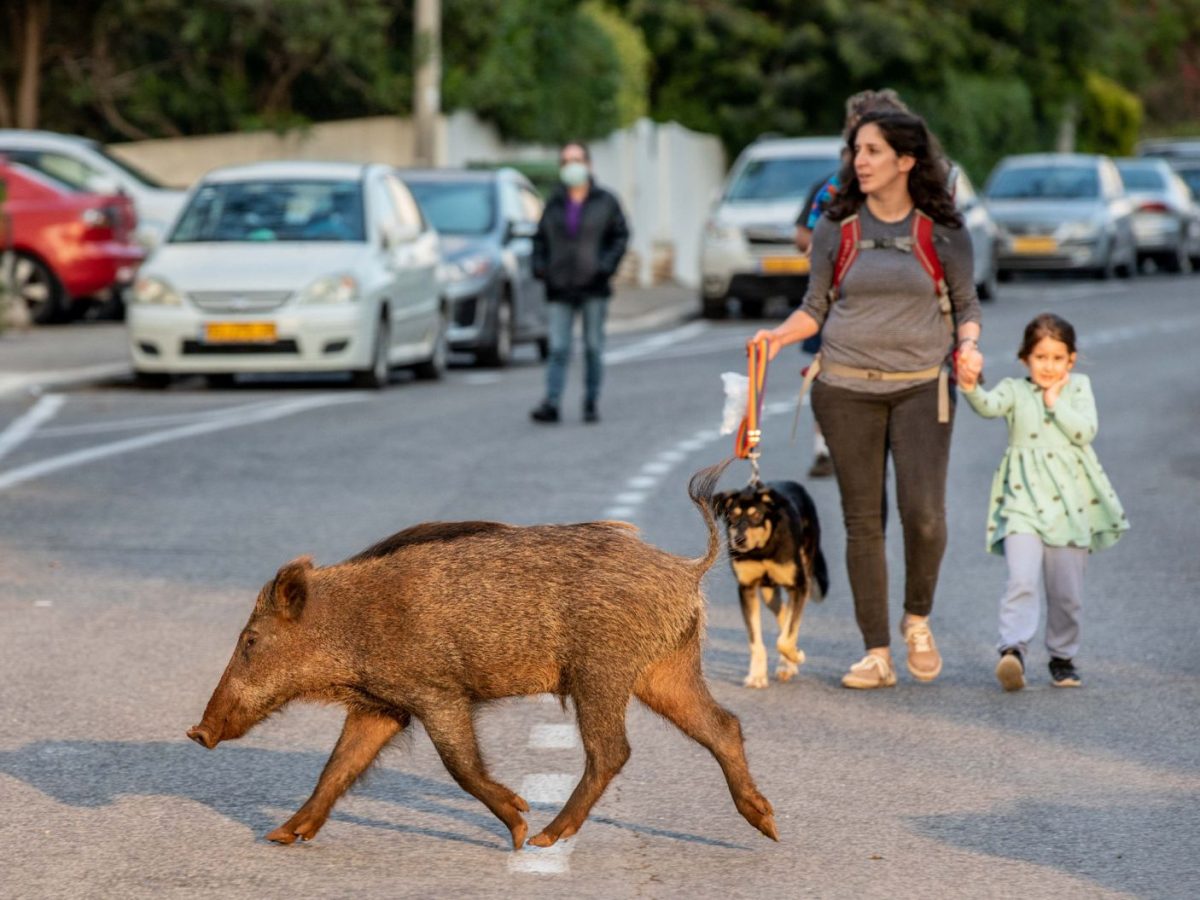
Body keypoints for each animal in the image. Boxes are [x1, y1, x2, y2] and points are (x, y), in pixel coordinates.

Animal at [710, 482, 825, 686]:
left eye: (756, 515)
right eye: (733, 515)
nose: (739, 540)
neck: (762, 550)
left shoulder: (799, 585)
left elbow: (785, 639)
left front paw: (796, 655)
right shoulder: (746, 587)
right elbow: (755, 641)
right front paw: (756, 676)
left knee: (789, 622)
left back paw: (788, 663)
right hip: (768, 593)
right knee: (783, 613)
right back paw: (786, 665)